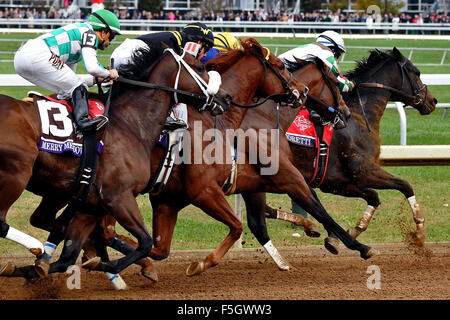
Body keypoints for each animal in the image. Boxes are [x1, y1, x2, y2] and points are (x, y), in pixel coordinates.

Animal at [0, 44, 230, 278]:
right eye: (201, 67)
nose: (225, 97)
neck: (131, 123)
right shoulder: (118, 197)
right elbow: (145, 242)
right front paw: (107, 265)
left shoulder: (90, 206)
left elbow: (67, 257)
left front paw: (35, 269)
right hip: (16, 177)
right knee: (2, 222)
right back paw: (36, 246)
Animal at [264, 47, 436, 252]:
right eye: (416, 72)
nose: (433, 101)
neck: (357, 116)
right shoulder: (362, 170)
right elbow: (404, 185)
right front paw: (419, 230)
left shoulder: (336, 181)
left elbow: (373, 197)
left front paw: (350, 232)